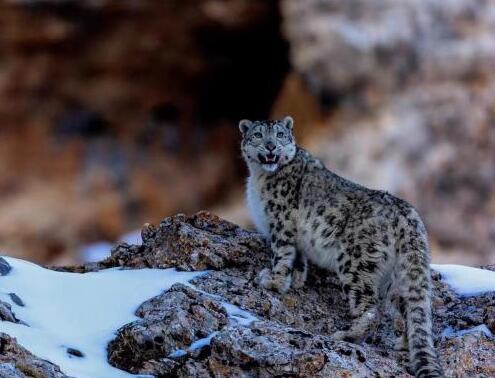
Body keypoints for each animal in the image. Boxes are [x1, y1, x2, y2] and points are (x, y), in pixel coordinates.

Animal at [240, 116, 446, 378]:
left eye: (280, 135)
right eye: (258, 135)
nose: (270, 147)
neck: (259, 178)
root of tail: (407, 214)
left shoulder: (281, 222)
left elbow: (282, 254)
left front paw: (273, 282)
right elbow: (298, 259)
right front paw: (295, 280)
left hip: (355, 263)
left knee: (370, 308)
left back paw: (347, 335)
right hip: (397, 276)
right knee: (409, 307)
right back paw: (401, 344)